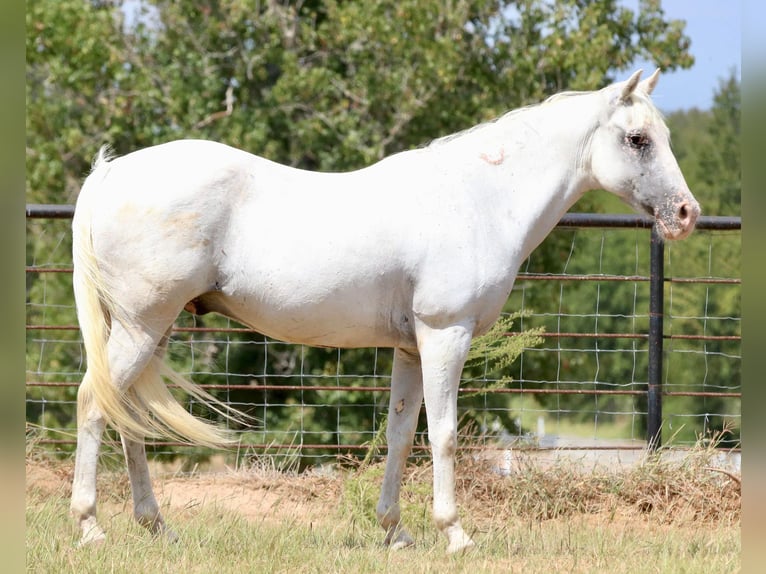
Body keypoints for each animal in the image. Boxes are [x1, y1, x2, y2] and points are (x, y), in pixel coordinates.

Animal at [72, 70, 704, 556]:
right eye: (638, 139)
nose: (686, 213)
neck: (478, 198)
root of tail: (111, 173)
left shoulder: (409, 347)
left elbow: (401, 434)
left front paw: (395, 532)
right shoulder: (446, 336)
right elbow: (443, 434)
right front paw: (456, 536)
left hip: (153, 329)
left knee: (126, 416)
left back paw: (156, 527)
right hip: (142, 326)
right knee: (94, 406)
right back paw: (90, 528)